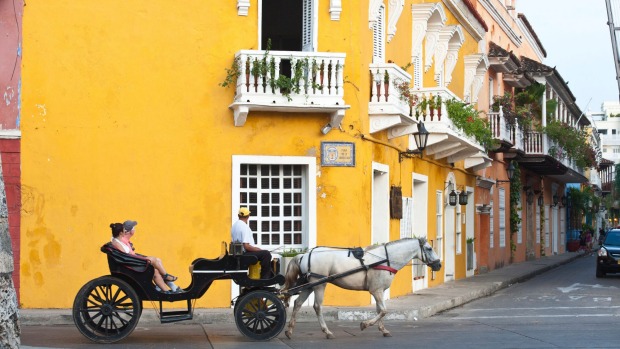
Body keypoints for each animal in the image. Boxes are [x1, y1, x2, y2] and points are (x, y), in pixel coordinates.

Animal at [280, 237, 440, 338]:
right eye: (429, 248)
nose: (439, 264)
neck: (385, 259)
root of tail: (305, 255)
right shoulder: (376, 291)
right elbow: (384, 311)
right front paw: (365, 324)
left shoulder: (379, 291)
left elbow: (380, 311)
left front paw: (383, 330)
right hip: (319, 284)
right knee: (317, 307)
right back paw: (327, 331)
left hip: (309, 286)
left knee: (297, 303)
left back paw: (289, 331)